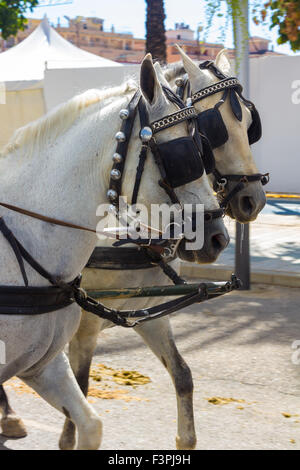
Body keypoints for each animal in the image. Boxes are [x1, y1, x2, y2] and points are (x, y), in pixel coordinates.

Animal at [0, 53, 226, 450]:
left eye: (203, 143)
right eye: (181, 154)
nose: (218, 236)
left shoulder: (45, 362)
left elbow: (93, 423)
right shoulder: (83, 332)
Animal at [56, 49, 268, 450]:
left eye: (250, 122)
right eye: (210, 130)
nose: (254, 199)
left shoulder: (150, 311)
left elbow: (182, 374)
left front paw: (185, 438)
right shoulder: (83, 325)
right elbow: (78, 390)